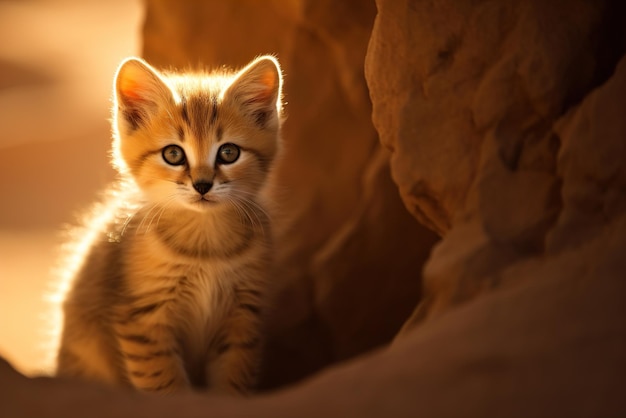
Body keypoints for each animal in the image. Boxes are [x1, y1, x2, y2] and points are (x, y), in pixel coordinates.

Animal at [53, 54, 282, 394]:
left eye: (228, 153)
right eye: (173, 154)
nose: (202, 185)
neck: (206, 250)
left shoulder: (242, 319)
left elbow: (232, 384)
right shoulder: (144, 321)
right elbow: (167, 388)